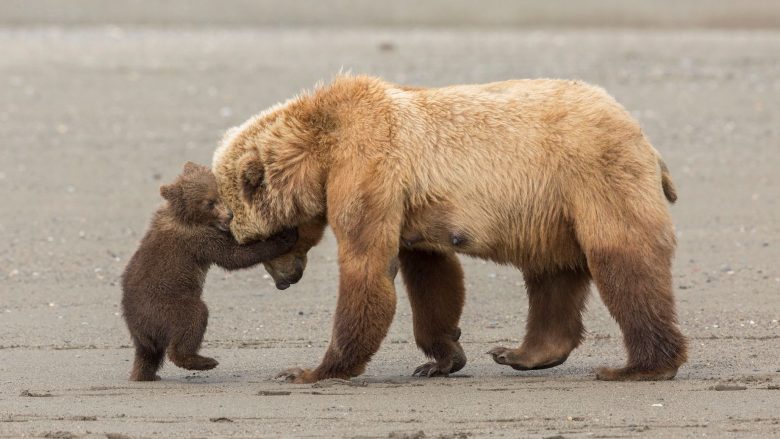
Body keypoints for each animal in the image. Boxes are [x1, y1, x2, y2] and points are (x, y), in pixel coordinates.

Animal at [210, 74, 684, 384]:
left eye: (260, 241)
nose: (284, 281)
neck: (321, 150)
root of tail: (641, 134)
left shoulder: (367, 169)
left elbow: (367, 266)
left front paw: (312, 370)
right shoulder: (410, 207)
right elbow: (432, 276)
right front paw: (441, 359)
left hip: (593, 175)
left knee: (623, 259)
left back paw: (641, 366)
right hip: (550, 212)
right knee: (551, 274)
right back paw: (521, 353)